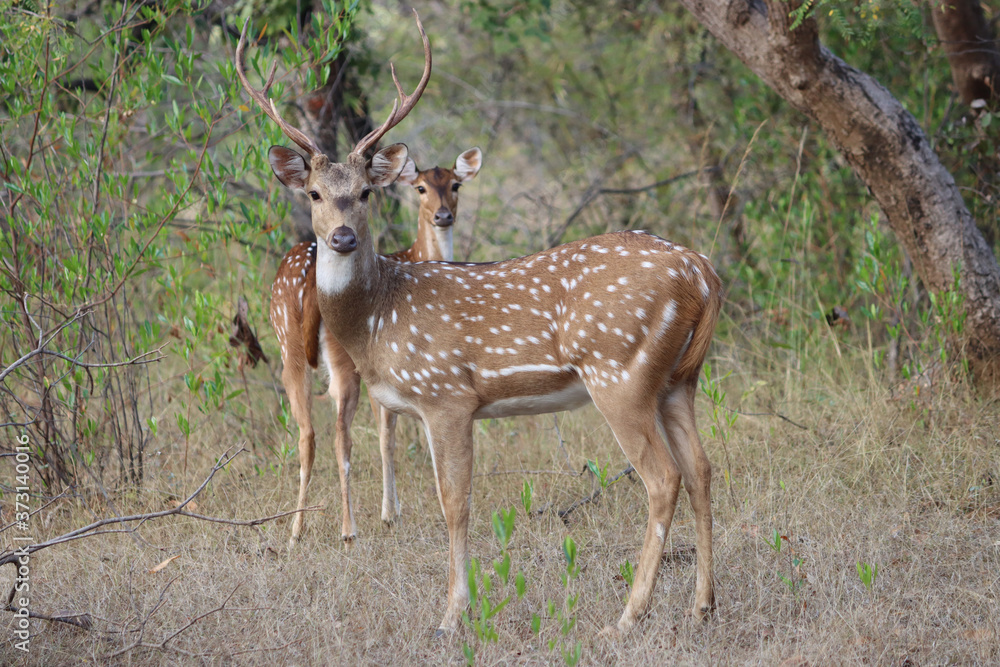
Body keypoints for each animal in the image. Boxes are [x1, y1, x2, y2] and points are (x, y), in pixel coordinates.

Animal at [269, 146, 482, 546]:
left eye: (456, 185)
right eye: (420, 188)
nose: (444, 216)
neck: (411, 256)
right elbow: (387, 433)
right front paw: (390, 513)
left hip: (286, 344)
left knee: (307, 434)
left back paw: (295, 531)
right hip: (341, 355)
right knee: (341, 436)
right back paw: (347, 529)